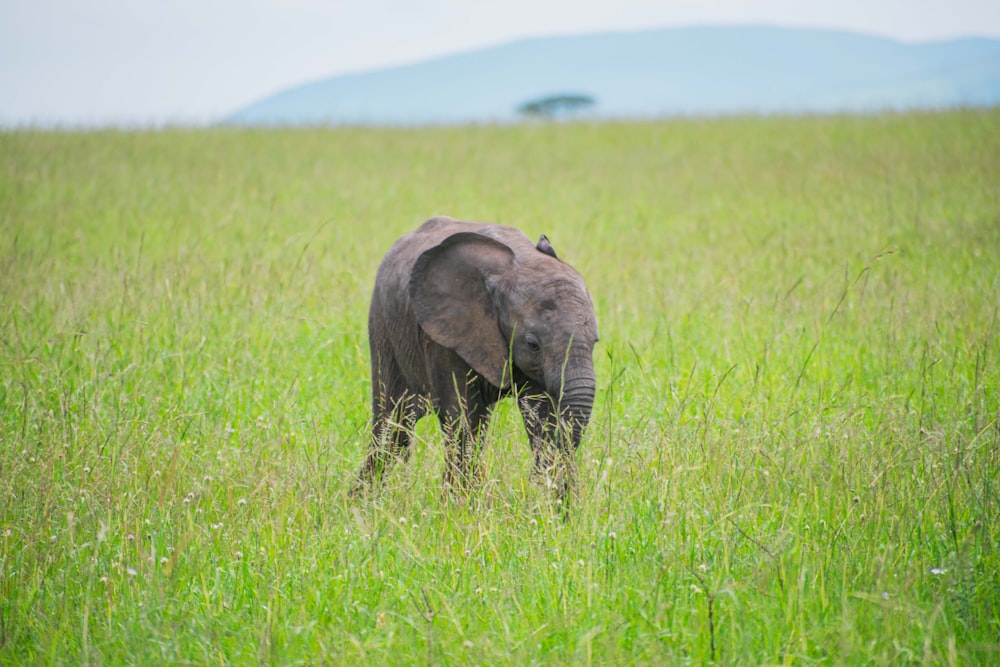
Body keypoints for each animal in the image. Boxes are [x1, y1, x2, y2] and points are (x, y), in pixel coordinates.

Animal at [352, 217, 596, 508]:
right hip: (383, 326)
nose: (535, 476)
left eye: (595, 341)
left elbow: (540, 416)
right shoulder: (445, 334)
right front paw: (457, 510)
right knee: (392, 429)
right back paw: (360, 505)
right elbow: (462, 420)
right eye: (532, 344)